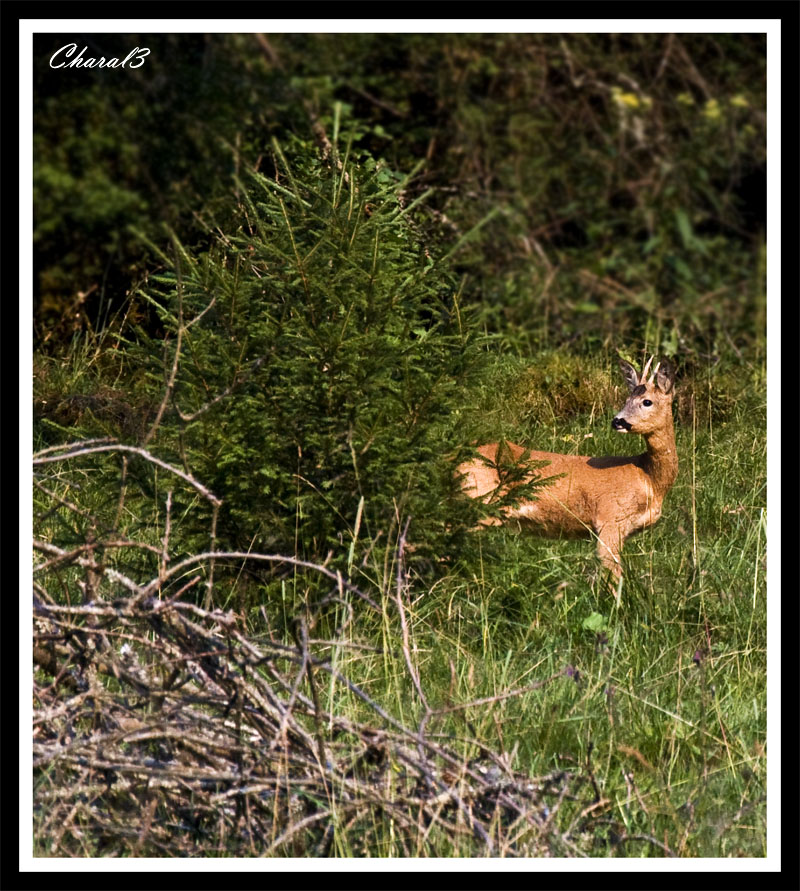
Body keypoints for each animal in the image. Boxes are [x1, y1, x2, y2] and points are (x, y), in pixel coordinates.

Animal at [460, 358, 680, 580]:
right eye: (626, 399)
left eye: (647, 401)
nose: (617, 421)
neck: (648, 477)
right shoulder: (611, 519)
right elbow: (612, 576)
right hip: (479, 500)